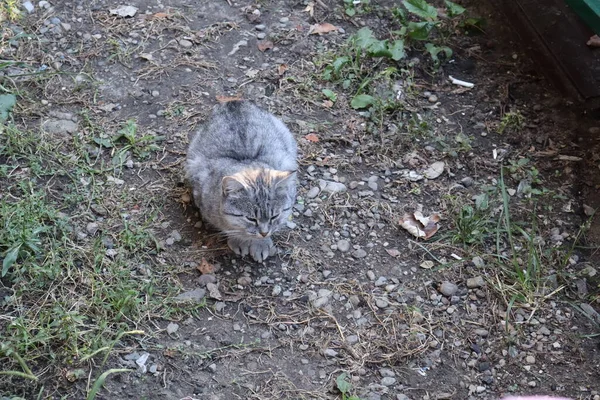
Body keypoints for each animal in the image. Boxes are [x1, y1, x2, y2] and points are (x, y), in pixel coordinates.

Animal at [186, 100, 298, 262]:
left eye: (274, 216)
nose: (264, 233)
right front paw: (240, 240)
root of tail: (233, 102)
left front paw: (261, 243)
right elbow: (231, 228)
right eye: (251, 219)